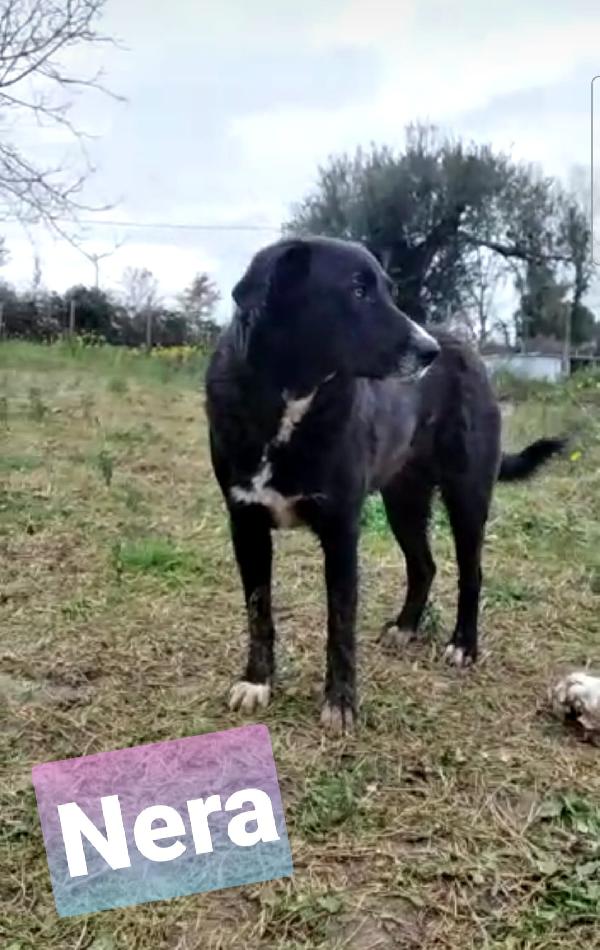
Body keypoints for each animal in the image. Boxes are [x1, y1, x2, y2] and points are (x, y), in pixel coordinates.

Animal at [206, 238, 564, 736]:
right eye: (357, 290)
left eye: (389, 291)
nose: (428, 351)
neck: (290, 398)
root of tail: (468, 349)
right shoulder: (246, 525)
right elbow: (259, 610)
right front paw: (257, 681)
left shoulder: (341, 529)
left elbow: (340, 624)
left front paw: (340, 704)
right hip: (403, 502)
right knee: (424, 565)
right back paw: (406, 626)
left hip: (467, 494)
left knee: (471, 573)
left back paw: (463, 645)